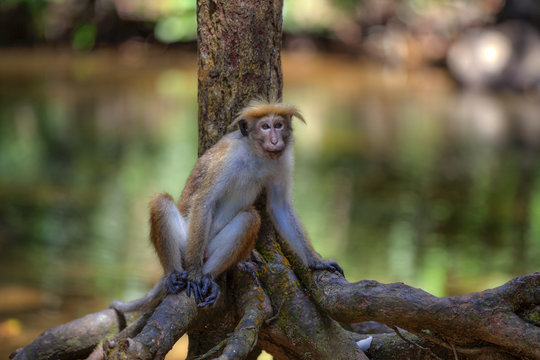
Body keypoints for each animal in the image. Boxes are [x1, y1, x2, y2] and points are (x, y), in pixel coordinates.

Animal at [110, 99, 344, 312]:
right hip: (188, 242)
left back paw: (209, 277)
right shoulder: (227, 159)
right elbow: (204, 201)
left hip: (210, 248)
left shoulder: (281, 160)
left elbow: (280, 207)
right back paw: (175, 275)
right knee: (161, 202)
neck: (256, 153)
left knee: (250, 218)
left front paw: (316, 261)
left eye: (278, 125)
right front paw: (194, 275)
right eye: (265, 127)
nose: (275, 140)